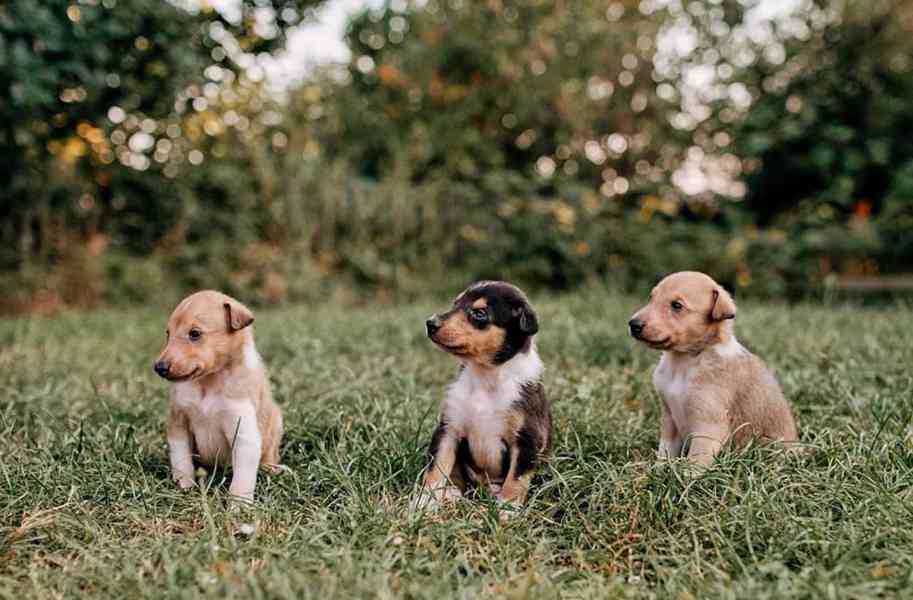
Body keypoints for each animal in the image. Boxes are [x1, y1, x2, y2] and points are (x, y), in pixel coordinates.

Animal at [153, 290, 284, 502]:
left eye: (195, 333)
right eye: (168, 334)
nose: (159, 368)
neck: (209, 383)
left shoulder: (244, 432)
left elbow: (241, 480)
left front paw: (239, 505)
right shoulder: (178, 421)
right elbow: (182, 461)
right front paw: (184, 487)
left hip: (276, 423)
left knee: (270, 455)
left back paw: (273, 470)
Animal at [412, 282, 548, 510]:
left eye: (479, 313)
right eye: (455, 304)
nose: (430, 323)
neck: (485, 376)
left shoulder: (527, 439)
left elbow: (516, 480)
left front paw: (507, 510)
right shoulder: (449, 429)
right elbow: (436, 469)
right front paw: (423, 502)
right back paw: (452, 494)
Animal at [628, 270, 800, 464]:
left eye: (677, 306)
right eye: (652, 298)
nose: (633, 324)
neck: (684, 362)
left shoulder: (708, 425)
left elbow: (695, 461)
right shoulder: (669, 418)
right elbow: (665, 452)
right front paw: (658, 468)